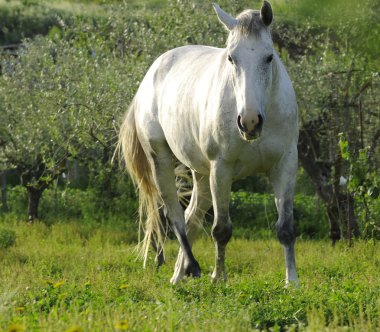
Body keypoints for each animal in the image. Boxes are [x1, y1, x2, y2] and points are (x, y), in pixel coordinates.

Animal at [119, 0, 300, 286]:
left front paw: (292, 282)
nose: (249, 122)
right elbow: (221, 229)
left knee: (191, 216)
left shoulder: (285, 165)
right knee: (175, 216)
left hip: (201, 173)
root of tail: (151, 73)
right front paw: (218, 278)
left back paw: (178, 276)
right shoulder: (222, 169)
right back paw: (192, 268)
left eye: (269, 57)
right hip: (161, 160)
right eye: (231, 58)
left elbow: (285, 228)